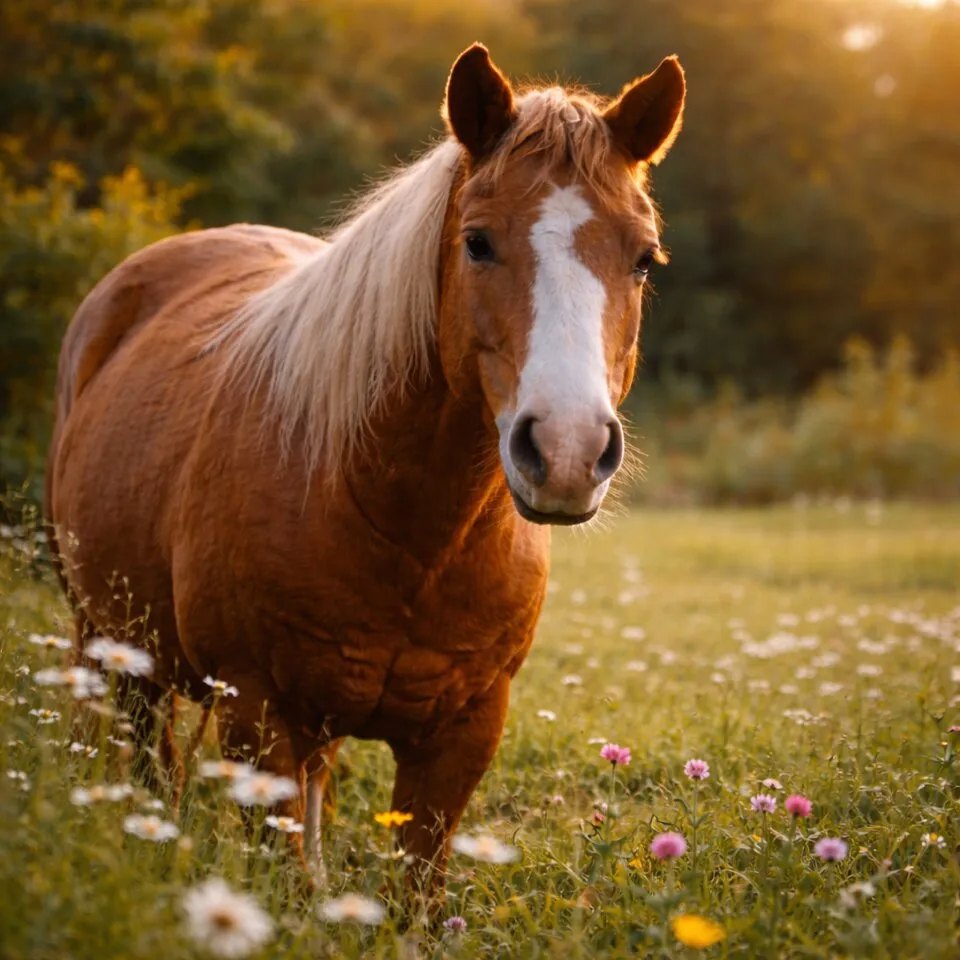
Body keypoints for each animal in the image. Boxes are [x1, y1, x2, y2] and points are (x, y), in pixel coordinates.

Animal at [45, 43, 685, 900]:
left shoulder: (462, 734)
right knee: (149, 764)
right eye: (478, 242)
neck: (406, 530)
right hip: (115, 647)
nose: (567, 451)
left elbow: (414, 892)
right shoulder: (258, 713)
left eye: (643, 259)